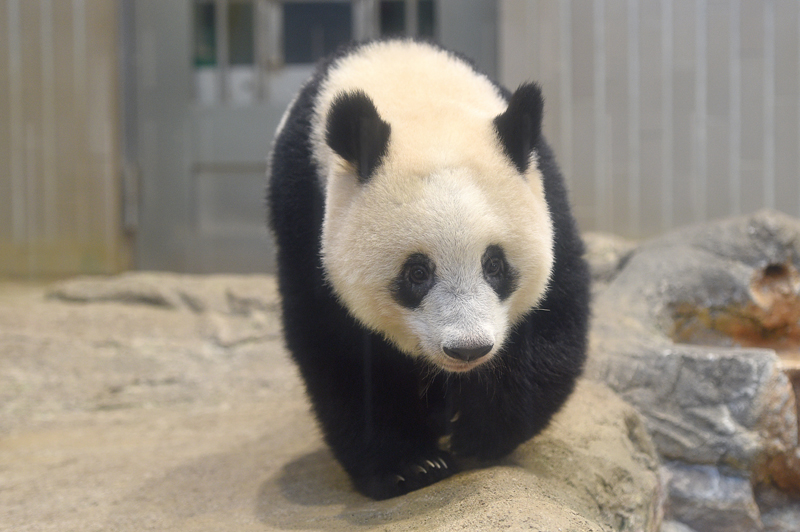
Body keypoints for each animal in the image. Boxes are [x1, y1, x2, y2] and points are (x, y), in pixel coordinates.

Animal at [266, 39, 592, 500]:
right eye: (417, 273)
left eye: (495, 265)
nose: (468, 349)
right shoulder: (304, 210)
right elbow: (341, 350)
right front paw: (410, 465)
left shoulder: (544, 190)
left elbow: (553, 317)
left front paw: (479, 433)